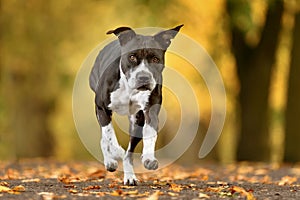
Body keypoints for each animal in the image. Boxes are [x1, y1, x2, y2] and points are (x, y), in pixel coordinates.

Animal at [89, 24, 183, 185]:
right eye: (132, 57)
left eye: (155, 58)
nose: (143, 77)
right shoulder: (101, 107)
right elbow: (108, 133)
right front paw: (116, 151)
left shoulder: (149, 112)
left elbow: (150, 133)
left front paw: (149, 158)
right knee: (105, 137)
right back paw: (110, 160)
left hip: (136, 121)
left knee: (129, 152)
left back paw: (130, 176)